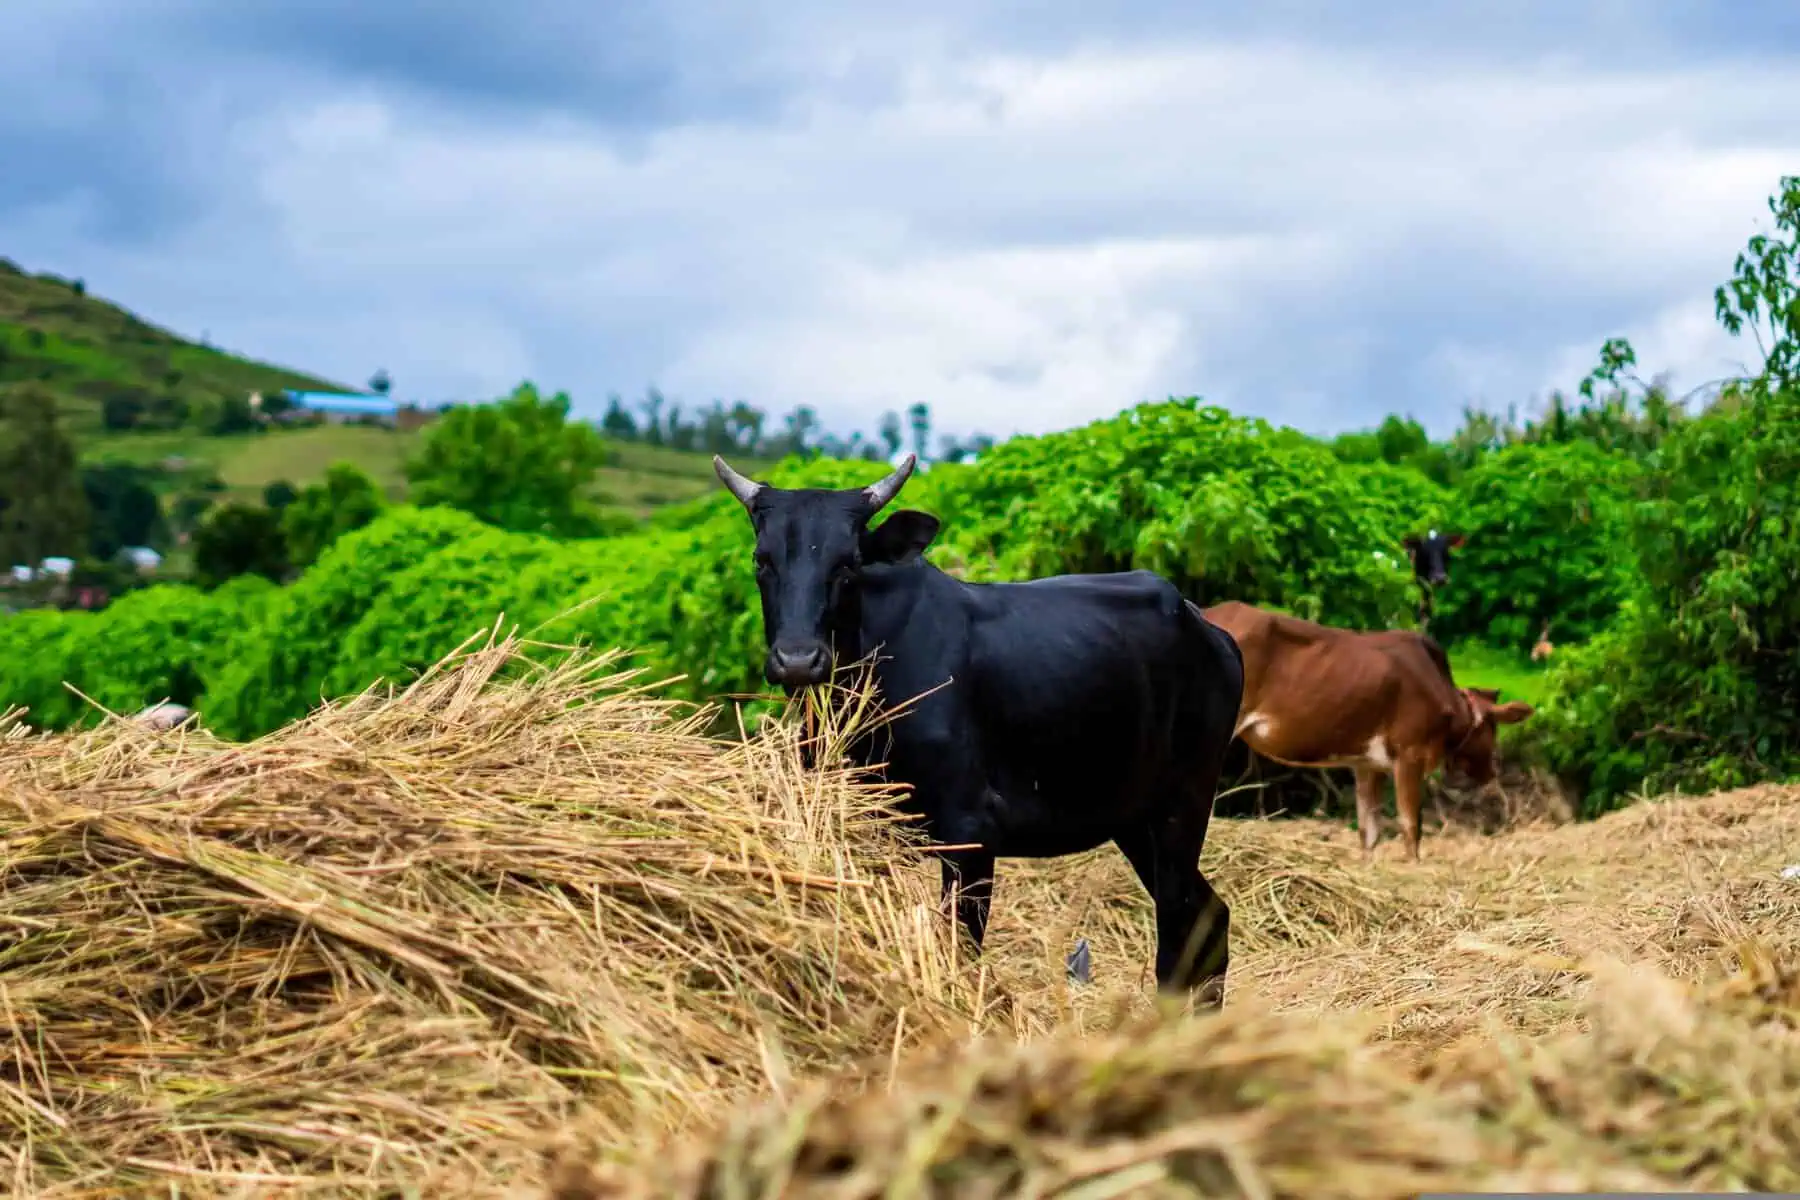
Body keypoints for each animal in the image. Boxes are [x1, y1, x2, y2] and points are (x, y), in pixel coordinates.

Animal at [709, 449, 1245, 1007]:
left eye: (848, 563)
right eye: (762, 560)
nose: (797, 660)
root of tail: (1208, 628)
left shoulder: (971, 833)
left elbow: (960, 950)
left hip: (1183, 807)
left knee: (1179, 925)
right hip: (1134, 819)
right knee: (1209, 915)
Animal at [1209, 604, 1533, 859]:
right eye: (1493, 728)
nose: (1494, 768)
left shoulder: (1366, 763)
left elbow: (1369, 831)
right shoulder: (1409, 755)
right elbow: (1410, 826)